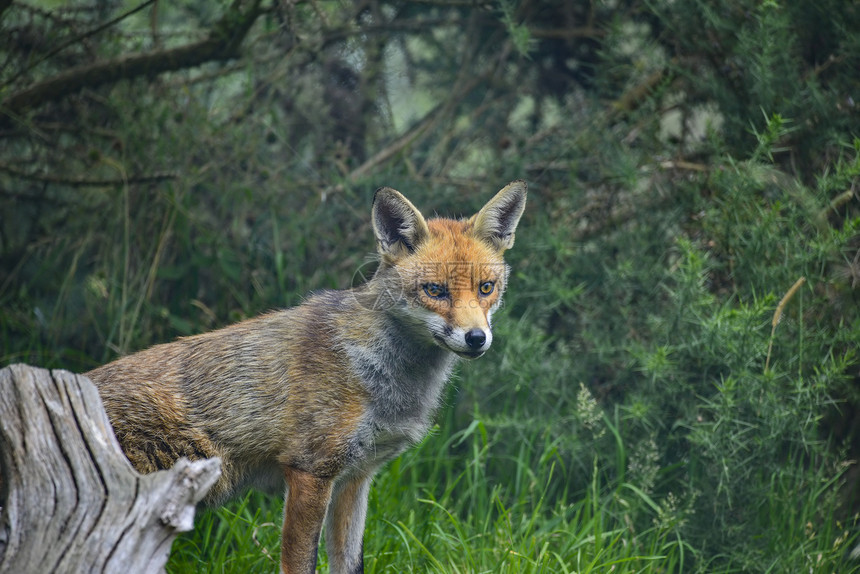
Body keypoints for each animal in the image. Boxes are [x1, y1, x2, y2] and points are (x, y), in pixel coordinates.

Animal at [90, 181, 528, 574]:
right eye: (435, 290)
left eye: (486, 288)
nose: (477, 338)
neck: (379, 374)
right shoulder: (310, 471)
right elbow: (301, 564)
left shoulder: (357, 477)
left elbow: (350, 564)